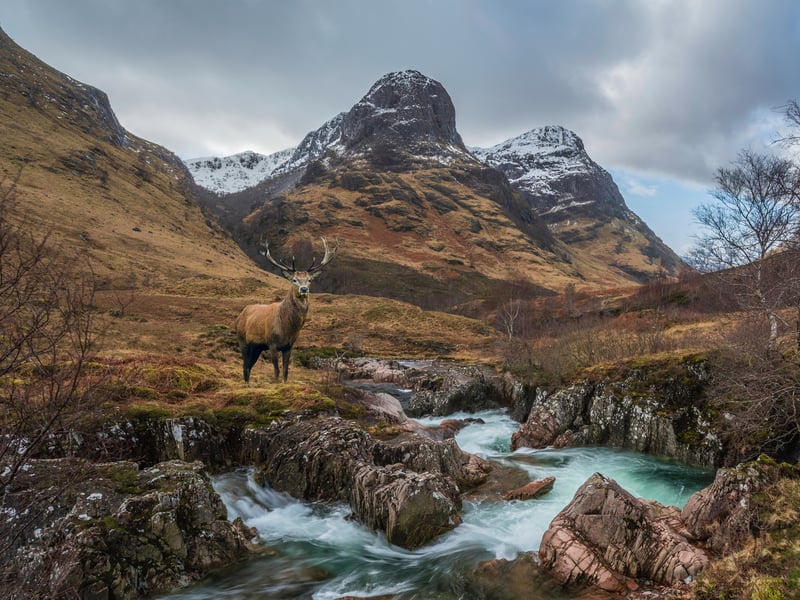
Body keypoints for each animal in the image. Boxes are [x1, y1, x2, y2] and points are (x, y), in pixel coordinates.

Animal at [235, 237, 337, 383]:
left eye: (309, 279)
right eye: (294, 279)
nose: (304, 289)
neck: (287, 328)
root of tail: (239, 316)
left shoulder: (289, 346)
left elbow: (286, 371)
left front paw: (284, 382)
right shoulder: (272, 343)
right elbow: (276, 370)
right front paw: (276, 384)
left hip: (257, 347)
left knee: (249, 366)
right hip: (242, 340)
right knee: (244, 366)